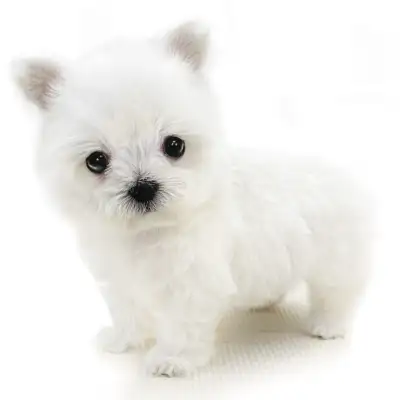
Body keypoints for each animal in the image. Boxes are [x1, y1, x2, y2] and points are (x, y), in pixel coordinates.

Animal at [13, 21, 371, 377]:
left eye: (174, 146)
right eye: (96, 161)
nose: (143, 187)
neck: (147, 232)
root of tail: (342, 176)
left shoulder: (191, 285)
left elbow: (181, 326)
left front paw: (172, 360)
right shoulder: (119, 280)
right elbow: (126, 312)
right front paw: (122, 340)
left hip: (334, 260)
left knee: (336, 294)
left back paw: (328, 326)